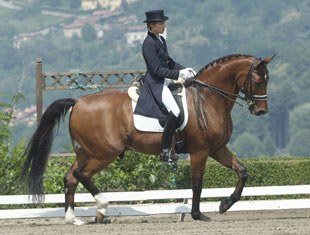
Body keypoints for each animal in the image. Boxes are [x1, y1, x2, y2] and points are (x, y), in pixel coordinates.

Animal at [21, 53, 274, 224]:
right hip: (104, 153)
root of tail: (78, 101)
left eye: (267, 79)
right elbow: (197, 183)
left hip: (85, 152)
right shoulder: (200, 151)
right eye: (258, 80)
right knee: (82, 175)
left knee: (70, 178)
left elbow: (242, 171)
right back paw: (102, 207)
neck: (209, 98)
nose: (261, 111)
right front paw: (197, 214)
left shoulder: (217, 149)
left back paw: (74, 218)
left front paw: (224, 204)